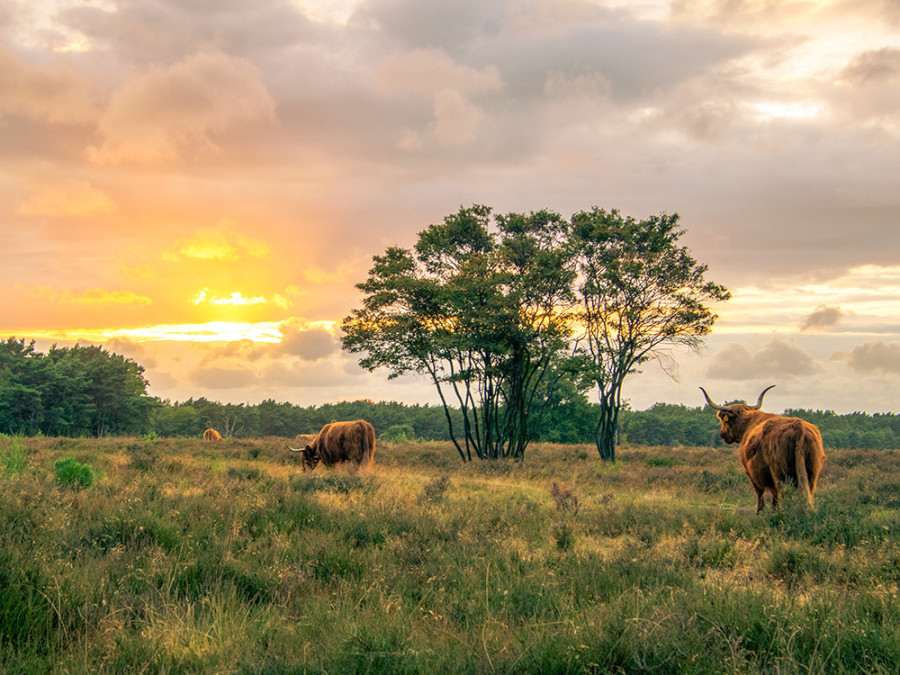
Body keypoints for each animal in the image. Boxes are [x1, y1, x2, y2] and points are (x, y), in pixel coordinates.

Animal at [700, 386, 828, 512]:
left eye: (724, 421)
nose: (722, 434)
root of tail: (798, 425)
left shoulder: (750, 471)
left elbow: (761, 493)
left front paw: (760, 511)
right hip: (812, 471)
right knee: (809, 491)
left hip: (780, 472)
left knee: (784, 492)